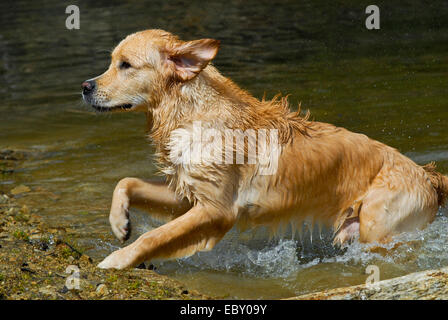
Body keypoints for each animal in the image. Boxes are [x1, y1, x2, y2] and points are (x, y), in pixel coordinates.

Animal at [81, 30, 448, 270]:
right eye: (112, 62)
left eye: (126, 65)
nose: (85, 86)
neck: (190, 113)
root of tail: (428, 176)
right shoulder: (187, 194)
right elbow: (126, 182)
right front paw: (119, 222)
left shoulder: (217, 209)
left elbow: (154, 237)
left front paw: (116, 260)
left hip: (378, 227)